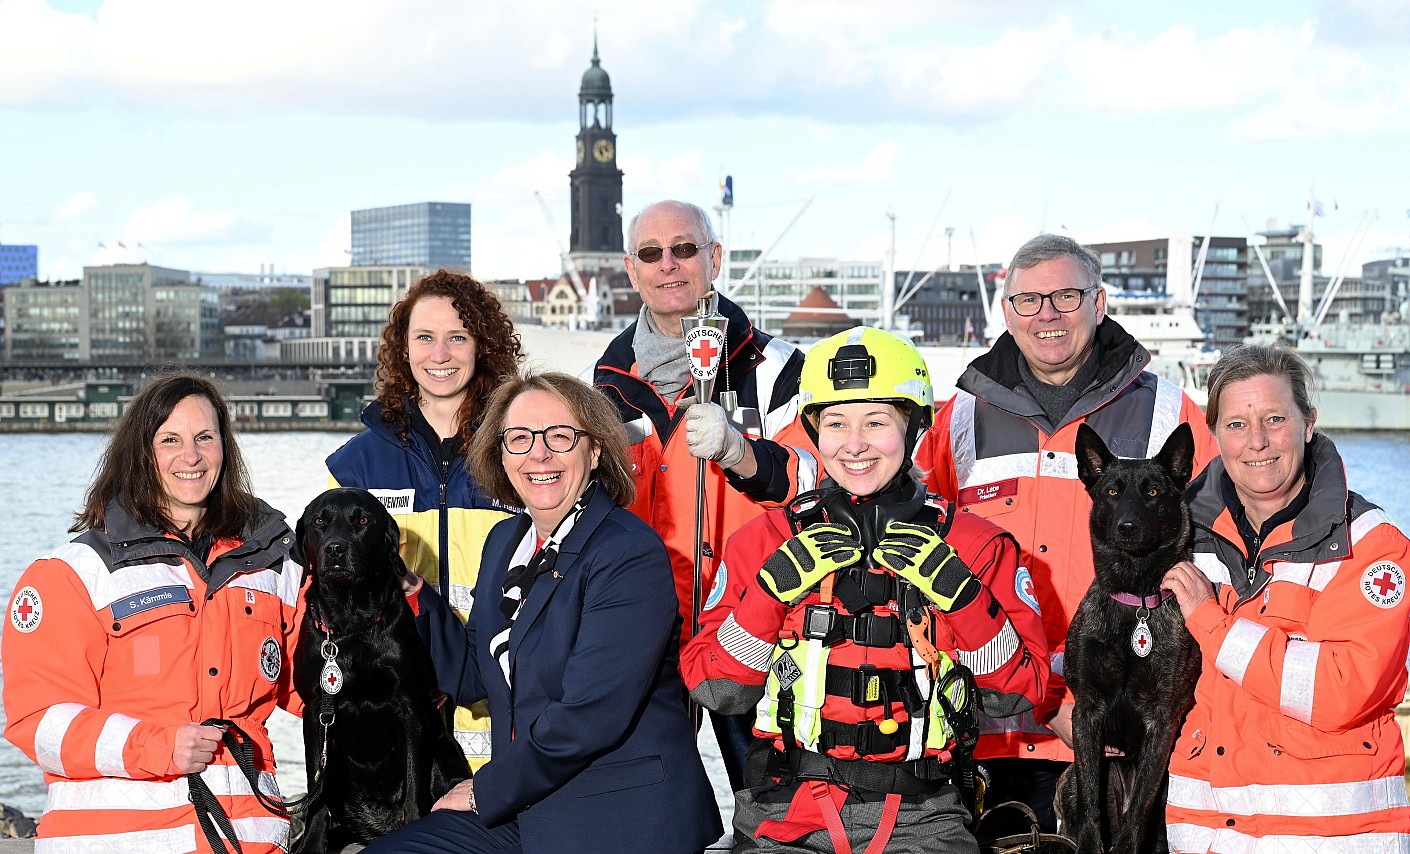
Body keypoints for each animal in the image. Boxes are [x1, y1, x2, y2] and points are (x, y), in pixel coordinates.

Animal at [291, 487, 468, 854]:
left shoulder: (411, 704)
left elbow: (415, 785)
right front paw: (311, 845)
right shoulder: (315, 712)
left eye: (363, 520)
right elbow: (316, 794)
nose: (335, 549)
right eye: (319, 521)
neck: (351, 623)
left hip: (442, 751)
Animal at [1060, 425, 1201, 854]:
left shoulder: (1162, 721)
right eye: (1111, 492)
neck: (1134, 600)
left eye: (1153, 492)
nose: (1127, 526)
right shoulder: (1086, 712)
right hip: (1068, 781)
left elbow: (1138, 812)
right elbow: (1091, 804)